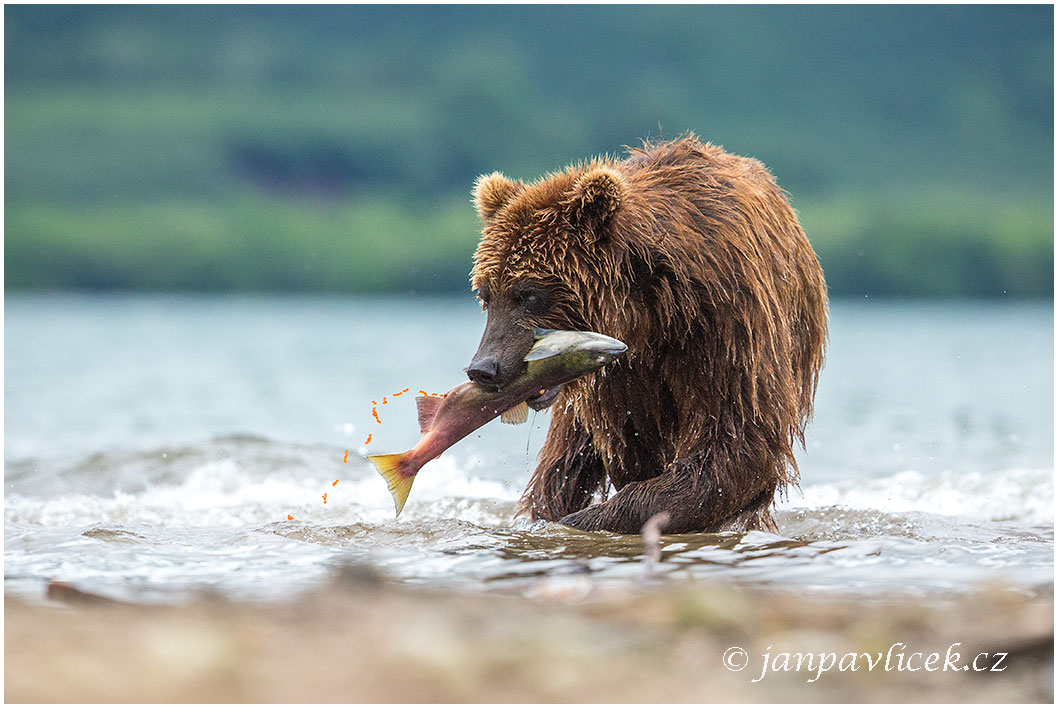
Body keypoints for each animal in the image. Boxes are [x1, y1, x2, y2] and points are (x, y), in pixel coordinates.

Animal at [465, 134, 825, 533]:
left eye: (528, 294)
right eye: (486, 294)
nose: (484, 368)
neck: (651, 311)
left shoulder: (727, 322)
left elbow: (739, 440)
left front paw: (588, 517)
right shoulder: (618, 379)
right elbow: (630, 444)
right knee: (566, 459)